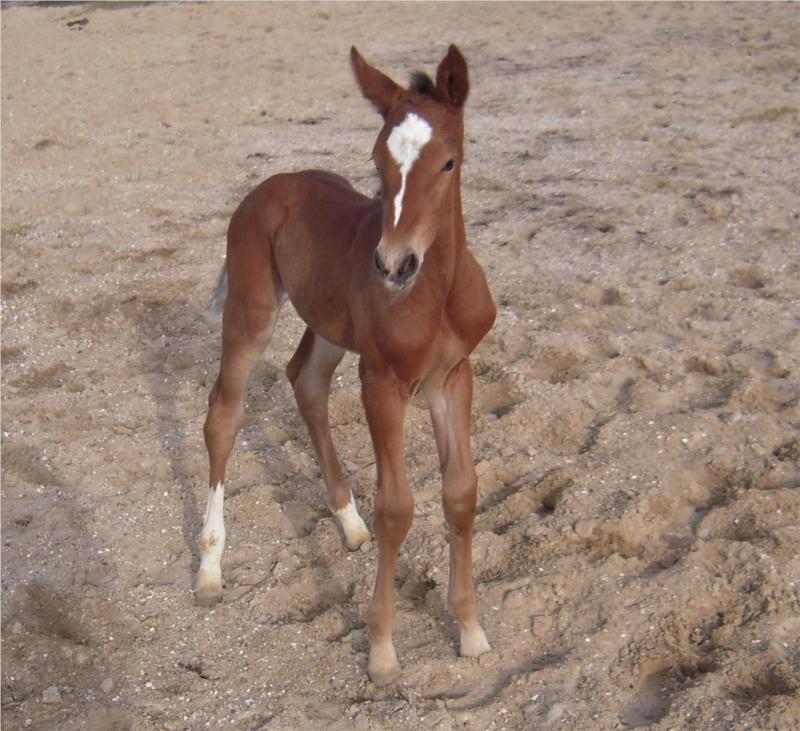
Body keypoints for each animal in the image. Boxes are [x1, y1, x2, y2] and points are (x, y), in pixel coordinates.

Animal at [196, 45, 494, 688]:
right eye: (377, 161)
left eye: (449, 162)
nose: (393, 264)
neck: (436, 288)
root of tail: (270, 186)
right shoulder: (383, 380)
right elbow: (398, 507)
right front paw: (382, 649)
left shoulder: (451, 377)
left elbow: (460, 494)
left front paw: (470, 631)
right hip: (252, 312)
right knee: (224, 413)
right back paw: (209, 567)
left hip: (331, 325)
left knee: (305, 380)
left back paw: (348, 523)